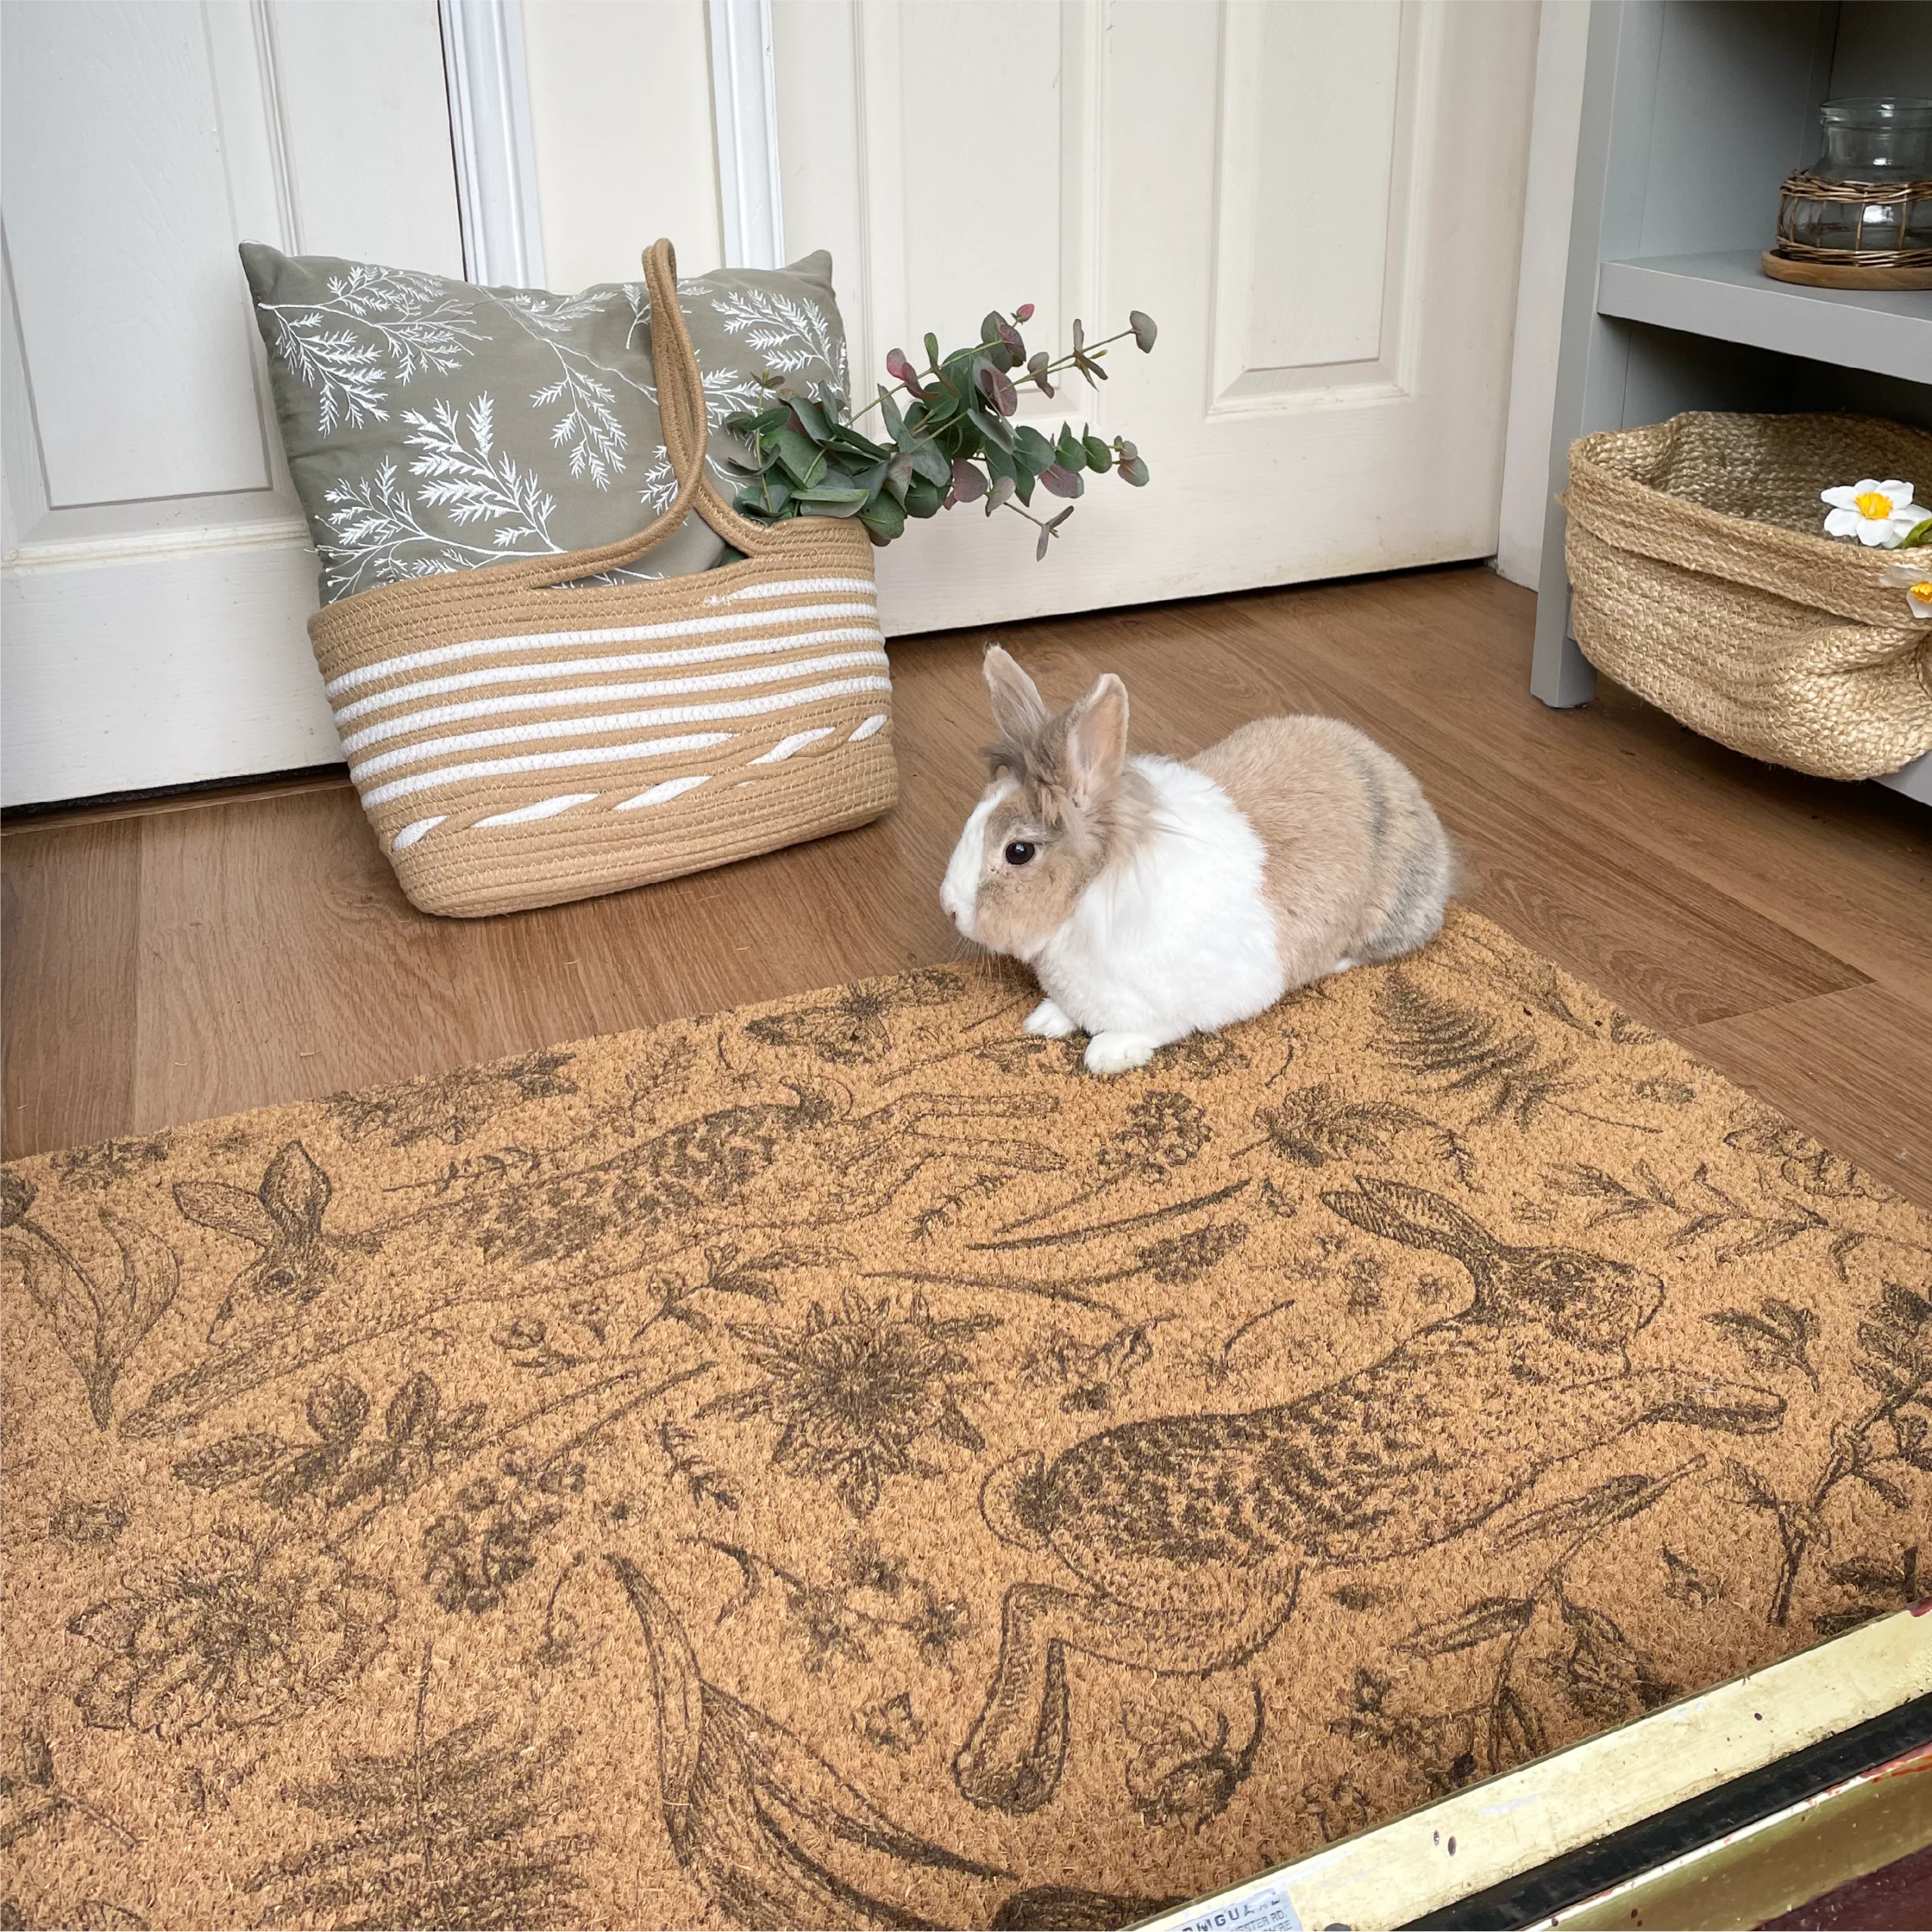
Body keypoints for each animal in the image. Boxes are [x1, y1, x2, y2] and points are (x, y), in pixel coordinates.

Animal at [939, 647, 1452, 1074]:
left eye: (1018, 852)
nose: (949, 909)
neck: (1093, 890)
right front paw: (1045, 1020)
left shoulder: (1191, 1000)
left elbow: (1154, 1028)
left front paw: (1108, 1054)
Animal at [951, 1177, 1787, 1813]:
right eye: (1563, 1274)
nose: (1652, 1287)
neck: (1512, 1330)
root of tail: (1047, 1505)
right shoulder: (1547, 1420)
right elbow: (1649, 1385)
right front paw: (1755, 1402)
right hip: (1224, 1605)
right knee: (1035, 1605)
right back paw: (989, 1767)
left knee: (1038, 1608)